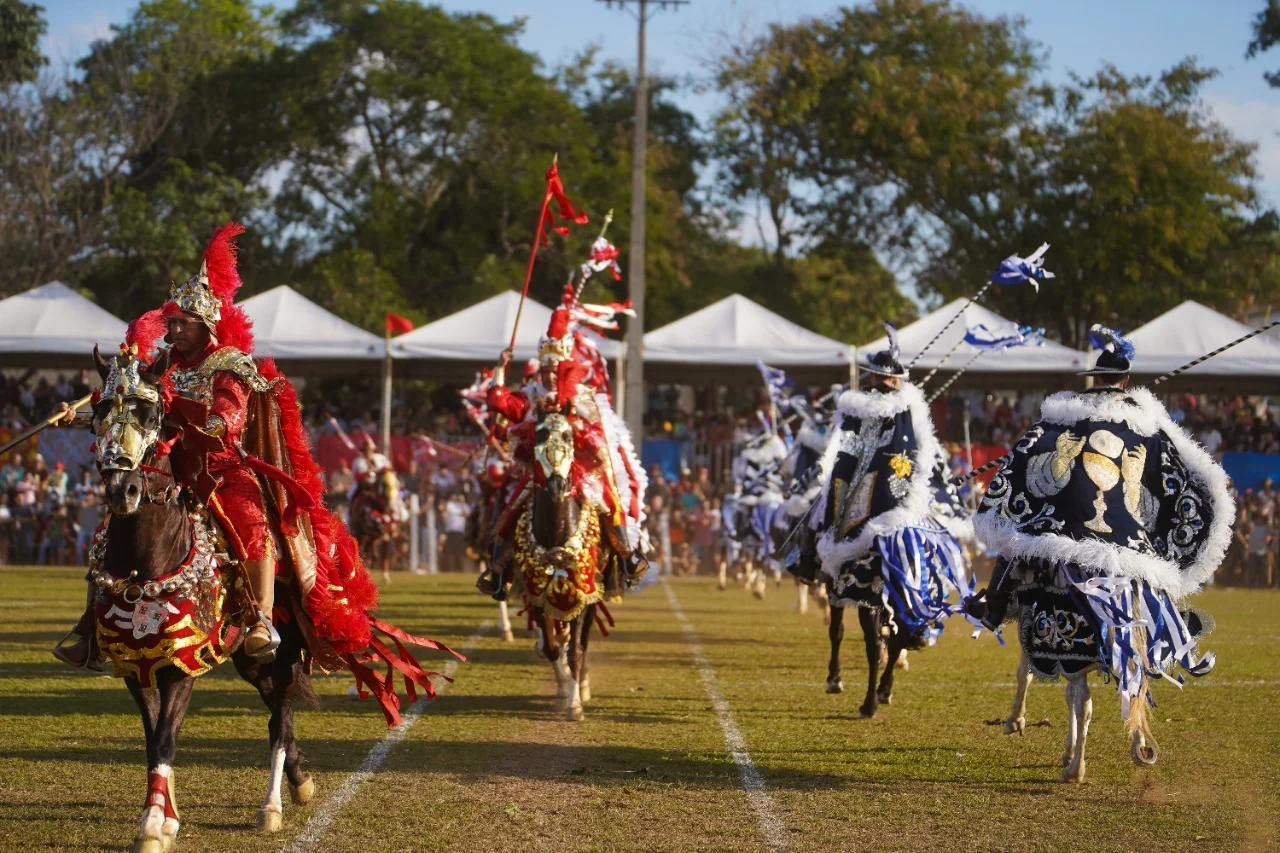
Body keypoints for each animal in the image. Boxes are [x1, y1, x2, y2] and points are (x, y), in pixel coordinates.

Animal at [85, 348, 314, 850]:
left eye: (152, 415)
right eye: (99, 413)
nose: (122, 490)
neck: (145, 567)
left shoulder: (180, 664)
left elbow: (166, 738)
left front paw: (153, 825)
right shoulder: (136, 666)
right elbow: (153, 738)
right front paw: (166, 818)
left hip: (280, 652)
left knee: (281, 719)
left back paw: (272, 807)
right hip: (249, 661)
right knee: (275, 711)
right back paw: (301, 780)